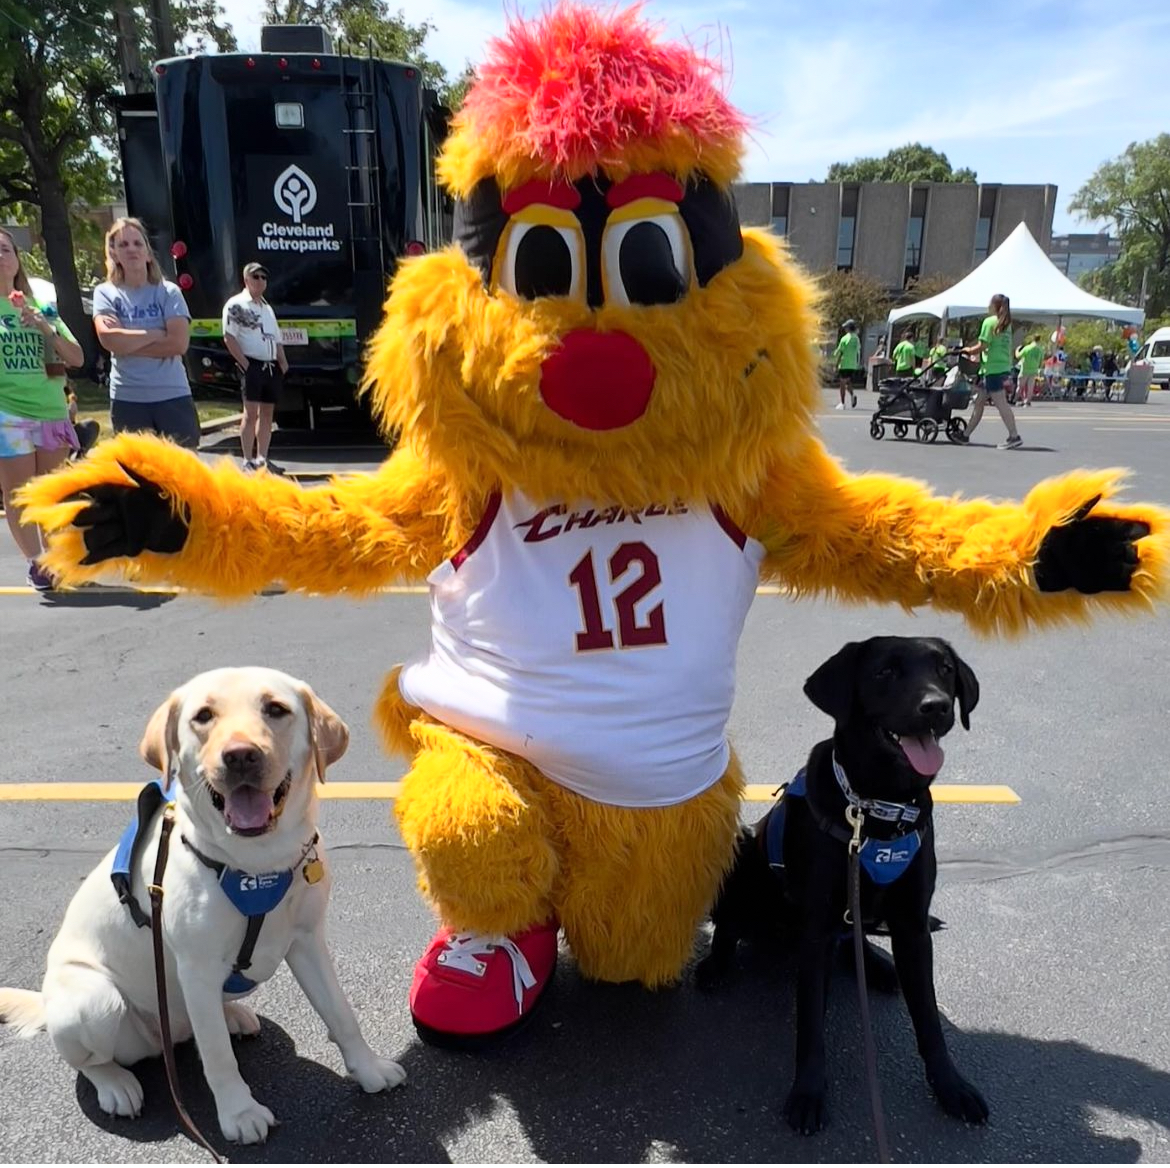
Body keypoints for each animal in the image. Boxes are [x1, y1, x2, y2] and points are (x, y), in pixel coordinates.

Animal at [0, 669, 404, 1142]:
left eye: (276, 709)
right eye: (204, 716)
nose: (241, 756)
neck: (257, 863)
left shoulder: (308, 941)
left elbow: (341, 1013)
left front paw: (369, 1069)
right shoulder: (196, 967)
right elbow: (218, 1057)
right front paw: (239, 1113)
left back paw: (232, 1015)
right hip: (94, 1002)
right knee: (92, 1060)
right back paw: (116, 1084)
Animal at [697, 636, 992, 1137]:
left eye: (945, 669)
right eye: (885, 672)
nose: (935, 706)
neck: (878, 809)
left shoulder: (912, 926)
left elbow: (929, 1021)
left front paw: (951, 1086)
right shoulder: (815, 929)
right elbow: (811, 1025)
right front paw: (808, 1093)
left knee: (854, 940)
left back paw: (878, 966)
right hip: (739, 857)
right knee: (732, 927)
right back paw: (717, 965)